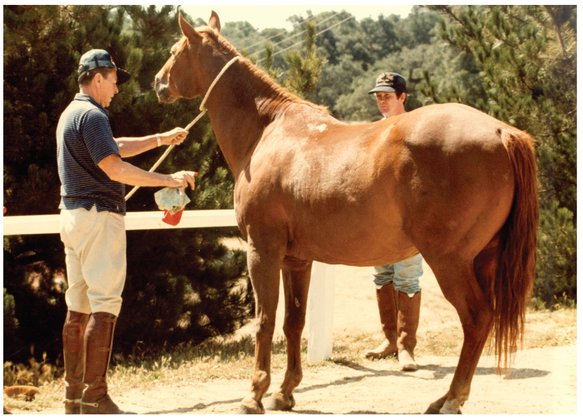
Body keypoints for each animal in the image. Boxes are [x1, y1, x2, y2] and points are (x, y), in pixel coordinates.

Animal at [154, 11, 540, 414]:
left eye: (174, 50)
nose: (158, 83)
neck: (268, 131)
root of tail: (502, 132)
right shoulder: (297, 259)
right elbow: (293, 322)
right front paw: (285, 392)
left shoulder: (263, 251)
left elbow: (265, 321)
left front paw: (254, 395)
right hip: (484, 258)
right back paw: (444, 398)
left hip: (450, 261)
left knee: (476, 319)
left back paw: (450, 399)